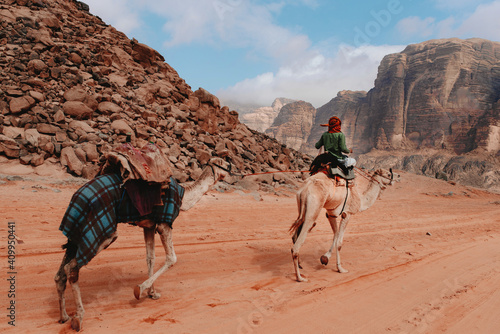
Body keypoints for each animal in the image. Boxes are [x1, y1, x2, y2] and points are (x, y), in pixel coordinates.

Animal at [54, 157, 232, 332]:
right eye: (226, 164)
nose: (231, 175)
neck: (183, 197)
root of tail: (76, 197)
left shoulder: (149, 226)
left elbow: (150, 258)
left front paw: (152, 293)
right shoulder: (163, 224)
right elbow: (171, 258)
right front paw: (140, 289)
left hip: (76, 232)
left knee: (60, 273)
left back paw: (64, 317)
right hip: (103, 232)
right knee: (71, 268)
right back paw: (78, 318)